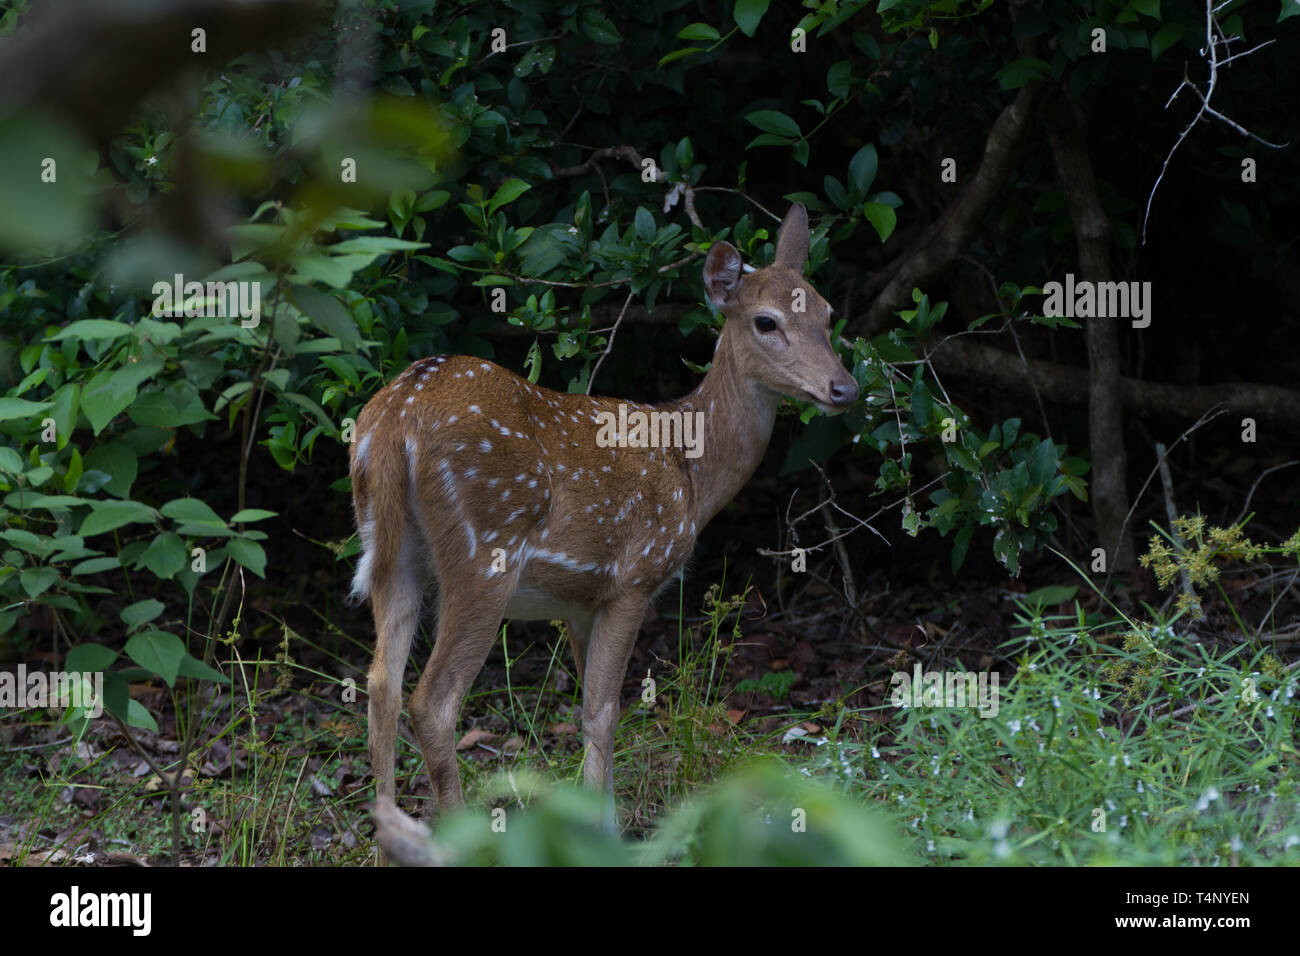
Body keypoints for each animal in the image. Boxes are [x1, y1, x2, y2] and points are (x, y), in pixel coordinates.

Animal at [351, 204, 857, 837]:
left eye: (828, 313)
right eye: (767, 322)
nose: (845, 387)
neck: (690, 471)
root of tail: (396, 421)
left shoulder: (578, 601)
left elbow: (590, 708)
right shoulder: (634, 576)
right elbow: (604, 713)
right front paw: (609, 834)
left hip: (390, 550)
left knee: (380, 687)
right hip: (484, 551)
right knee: (432, 702)